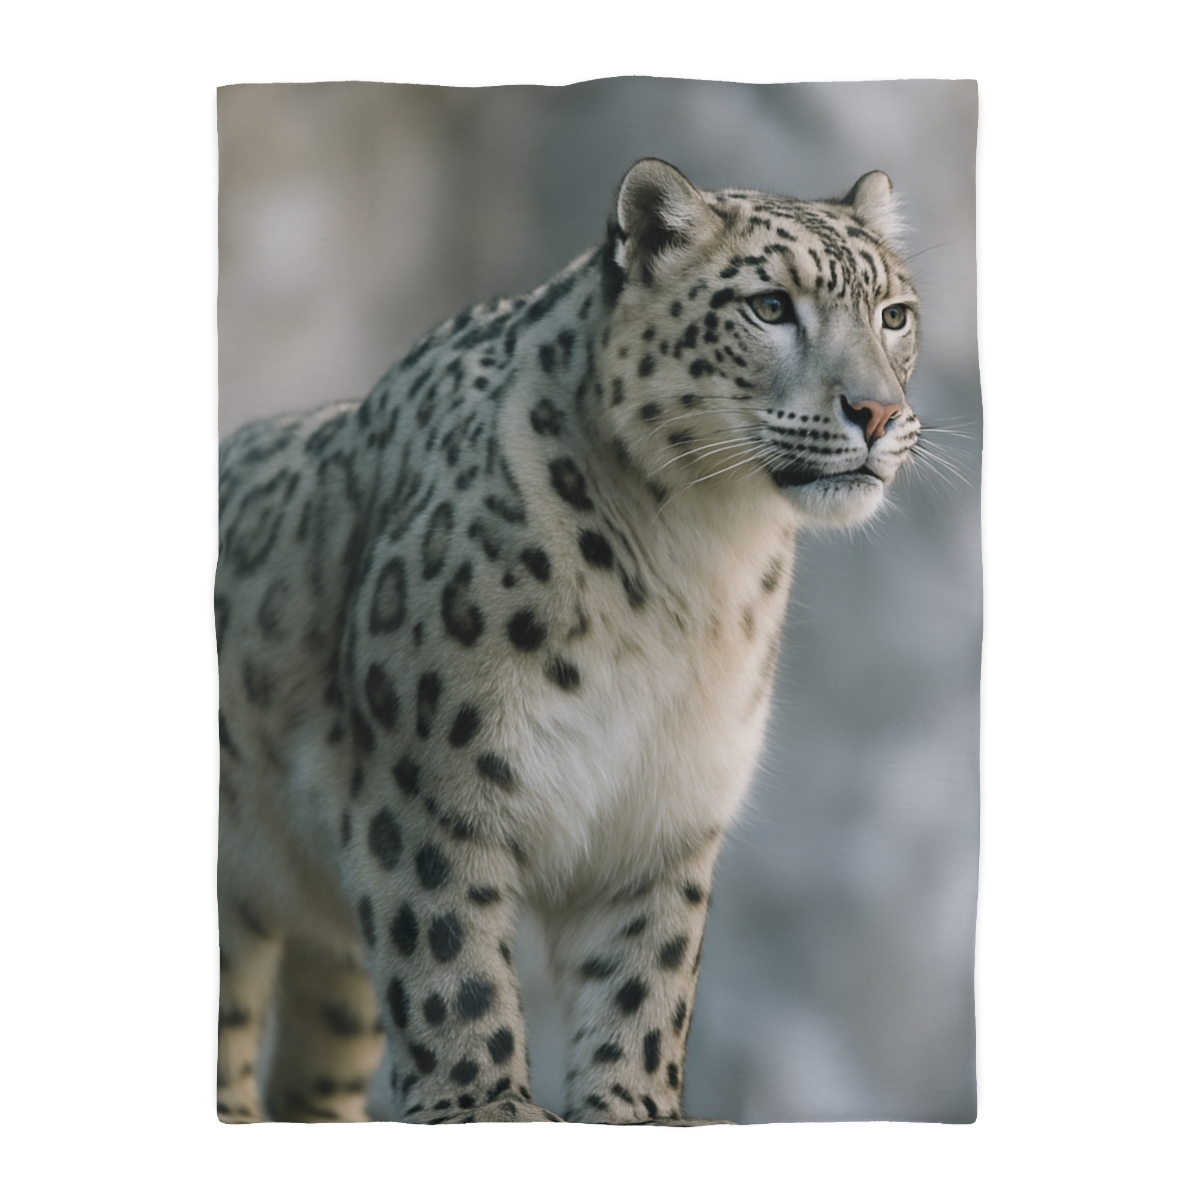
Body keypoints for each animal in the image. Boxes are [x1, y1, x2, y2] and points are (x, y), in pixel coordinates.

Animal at [215, 158, 921, 1125]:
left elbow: (647, 974)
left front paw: (635, 1107)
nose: (877, 413)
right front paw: (484, 1105)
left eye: (895, 315)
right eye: (770, 306)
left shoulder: (664, 810)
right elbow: (450, 956)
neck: (699, 564)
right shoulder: (426, 786)